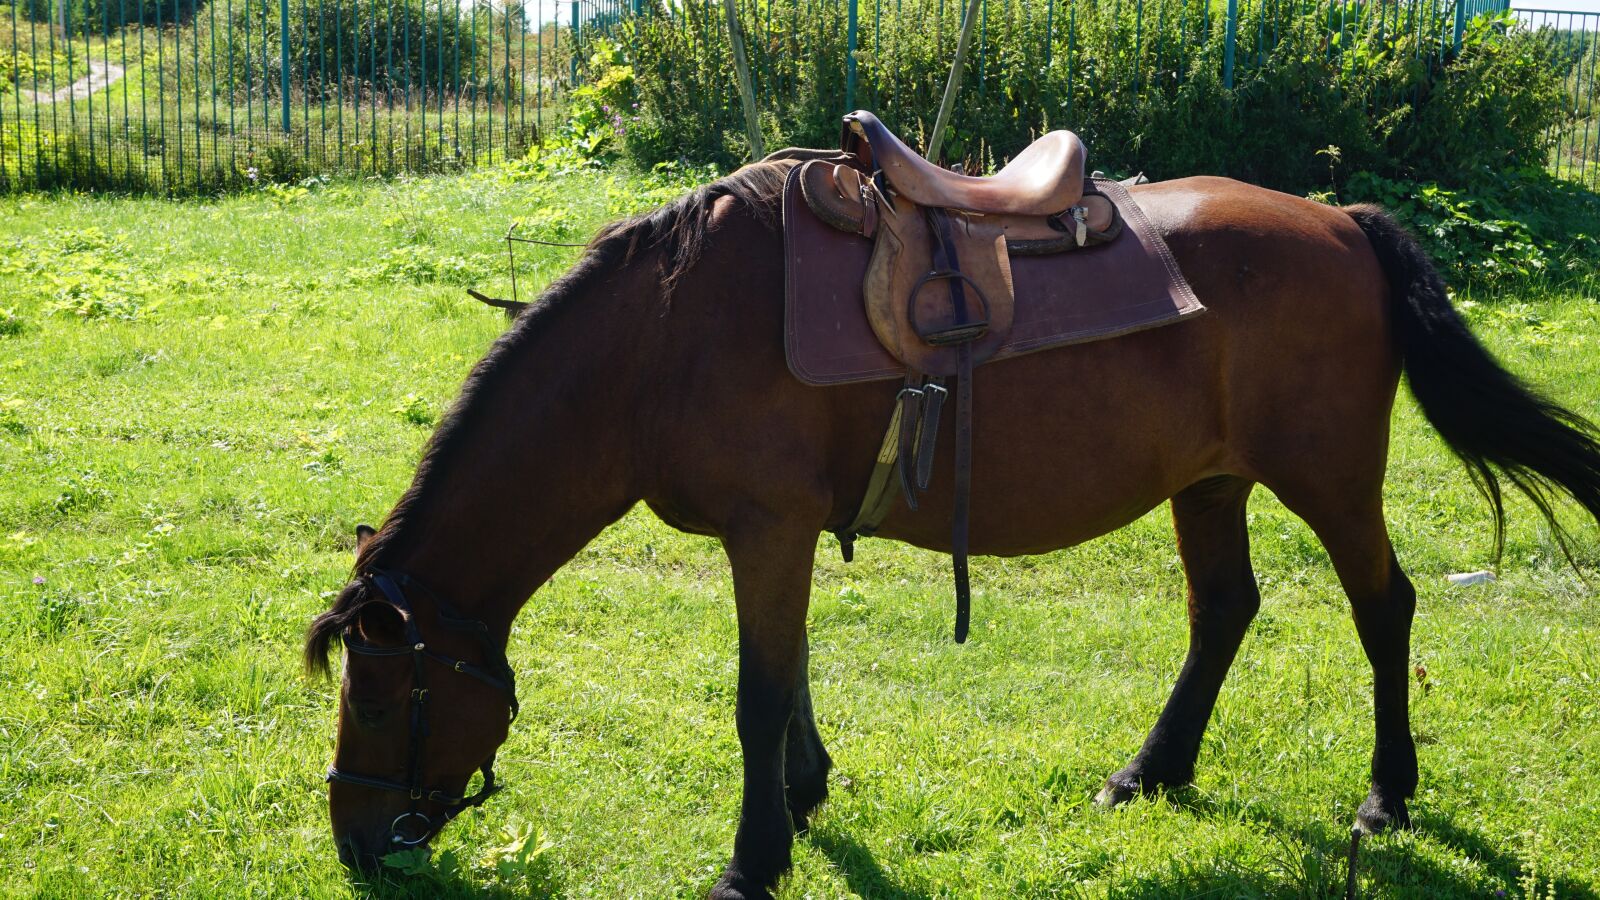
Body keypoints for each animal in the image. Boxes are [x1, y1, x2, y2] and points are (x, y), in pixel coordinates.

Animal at [304, 161, 1600, 898]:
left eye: (380, 695)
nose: (357, 846)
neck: (662, 340)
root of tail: (1340, 220)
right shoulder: (774, 532)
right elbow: (793, 675)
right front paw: (805, 795)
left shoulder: (767, 525)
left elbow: (757, 692)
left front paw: (753, 859)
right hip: (1210, 482)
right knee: (1224, 609)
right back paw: (1151, 770)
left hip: (1324, 476)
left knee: (1384, 606)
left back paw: (1385, 797)